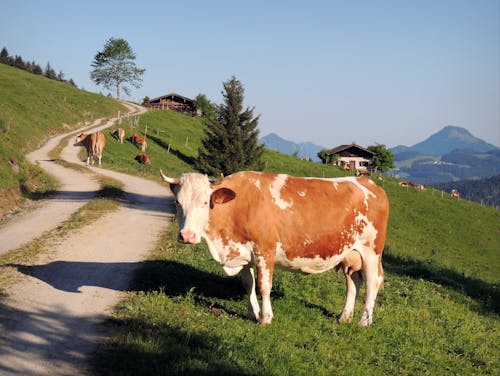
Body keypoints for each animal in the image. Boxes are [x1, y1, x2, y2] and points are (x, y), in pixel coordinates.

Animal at [162, 170, 388, 326]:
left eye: (205, 202)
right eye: (178, 202)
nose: (187, 236)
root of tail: (368, 182)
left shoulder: (265, 250)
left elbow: (263, 286)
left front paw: (265, 318)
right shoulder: (244, 253)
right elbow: (248, 284)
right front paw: (252, 313)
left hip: (372, 250)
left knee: (373, 281)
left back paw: (364, 321)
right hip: (349, 253)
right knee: (354, 282)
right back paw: (344, 317)